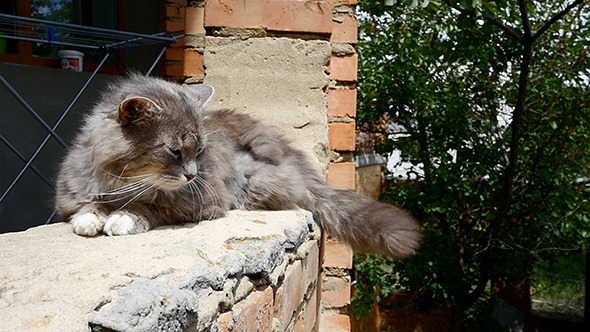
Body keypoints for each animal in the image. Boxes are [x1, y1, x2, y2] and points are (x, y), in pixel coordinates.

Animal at [55, 74, 424, 256]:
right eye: (175, 152)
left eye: (199, 151)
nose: (191, 174)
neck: (126, 179)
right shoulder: (71, 195)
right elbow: (86, 206)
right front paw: (92, 218)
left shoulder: (206, 199)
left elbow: (155, 205)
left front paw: (124, 217)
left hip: (254, 178)